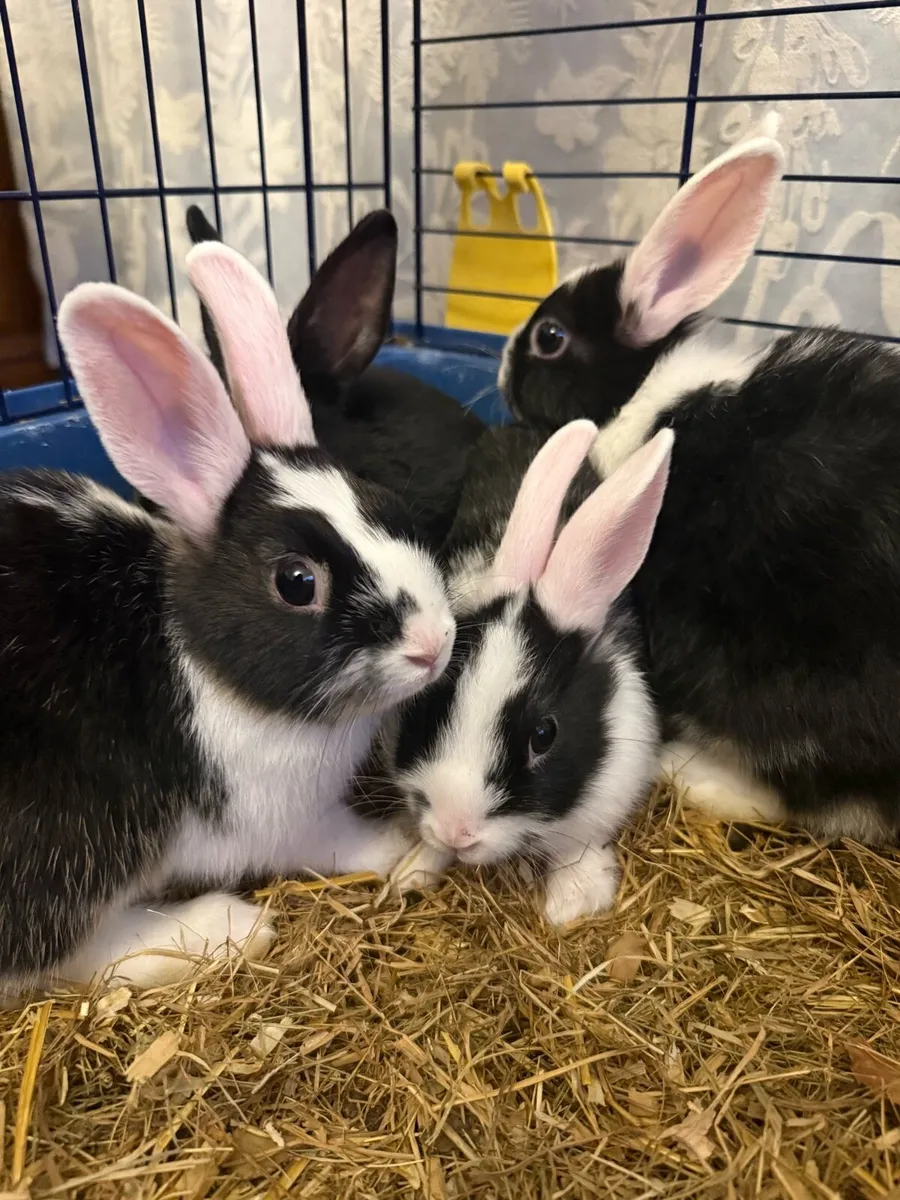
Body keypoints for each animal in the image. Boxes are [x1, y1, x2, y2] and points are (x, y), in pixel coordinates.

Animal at [0, 236, 456, 993]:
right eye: (297, 582)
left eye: (384, 504)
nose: (436, 642)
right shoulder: (292, 822)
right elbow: (342, 839)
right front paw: (401, 843)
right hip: (71, 841)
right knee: (67, 953)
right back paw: (228, 927)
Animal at [368, 419, 673, 925]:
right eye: (430, 704)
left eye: (544, 735)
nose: (456, 831)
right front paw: (412, 872)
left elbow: (576, 846)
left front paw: (571, 904)